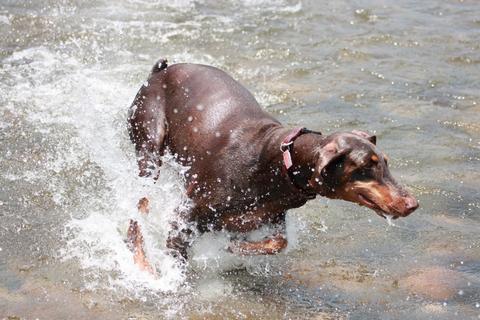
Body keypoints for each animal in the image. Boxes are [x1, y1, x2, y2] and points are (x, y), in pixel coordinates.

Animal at [125, 59, 418, 270]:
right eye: (365, 167)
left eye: (385, 163)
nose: (413, 204)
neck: (278, 166)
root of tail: (160, 70)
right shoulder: (186, 215)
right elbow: (177, 254)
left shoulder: (267, 219)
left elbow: (278, 242)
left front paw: (233, 247)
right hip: (149, 148)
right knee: (138, 209)